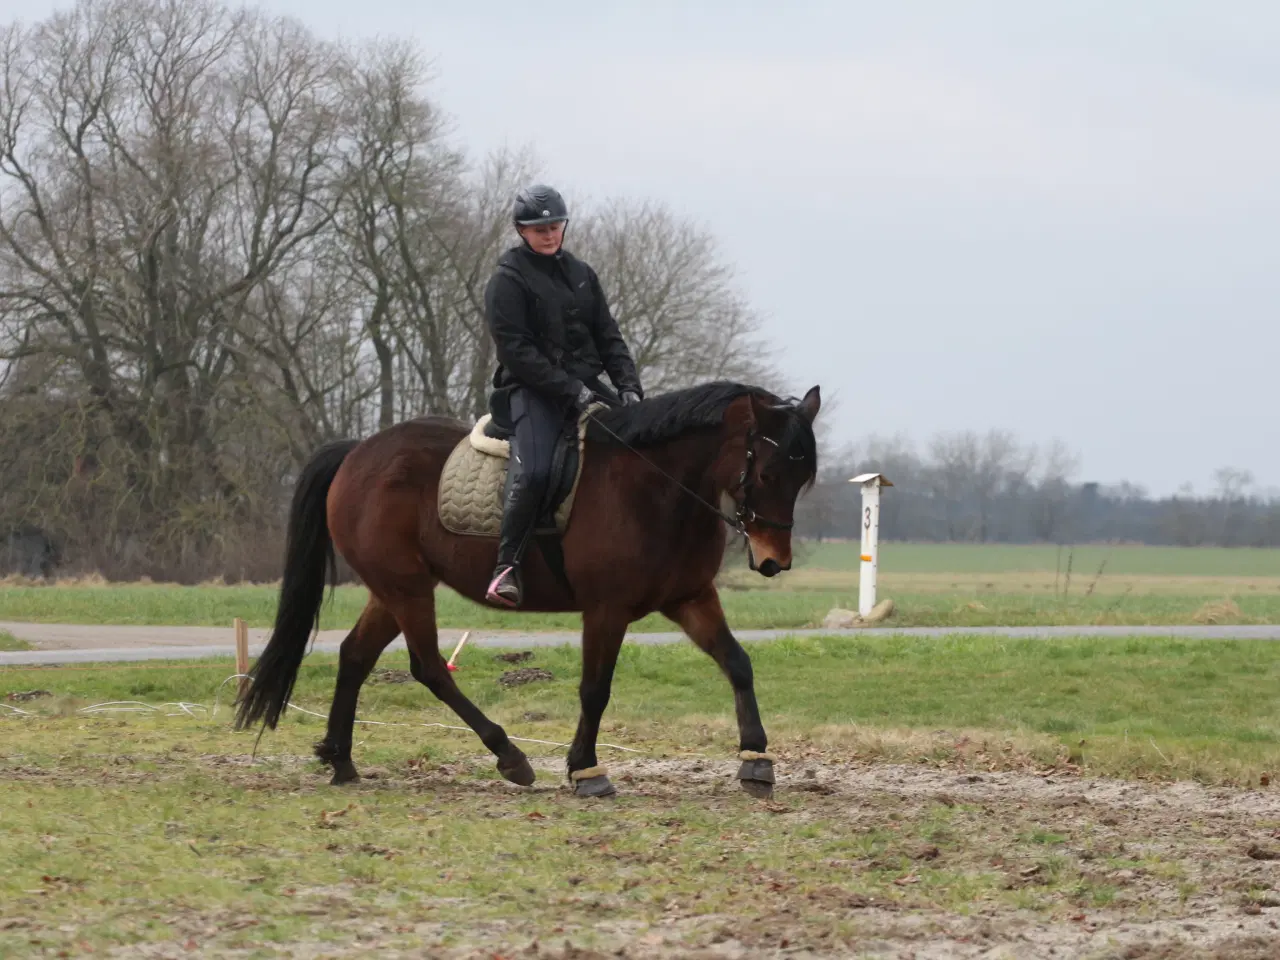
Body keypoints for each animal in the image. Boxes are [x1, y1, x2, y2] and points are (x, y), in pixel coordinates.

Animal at [232, 378, 819, 798]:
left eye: (803, 478)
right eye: (767, 473)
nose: (774, 561)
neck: (657, 487)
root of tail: (357, 453)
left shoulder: (690, 599)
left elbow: (738, 663)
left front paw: (756, 760)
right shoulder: (606, 610)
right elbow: (595, 689)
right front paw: (586, 770)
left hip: (391, 588)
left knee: (355, 656)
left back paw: (340, 758)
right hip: (407, 589)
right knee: (428, 668)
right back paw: (508, 755)